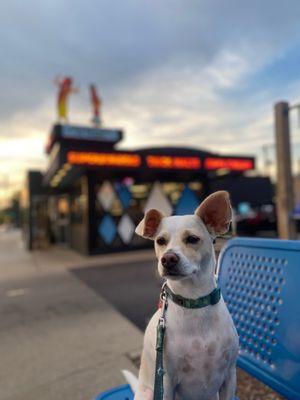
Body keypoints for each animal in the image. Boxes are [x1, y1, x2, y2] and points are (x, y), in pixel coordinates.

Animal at [134, 191, 239, 400]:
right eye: (160, 241)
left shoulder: (230, 375)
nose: (168, 258)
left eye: (192, 239)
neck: (194, 301)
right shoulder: (166, 383)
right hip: (148, 393)